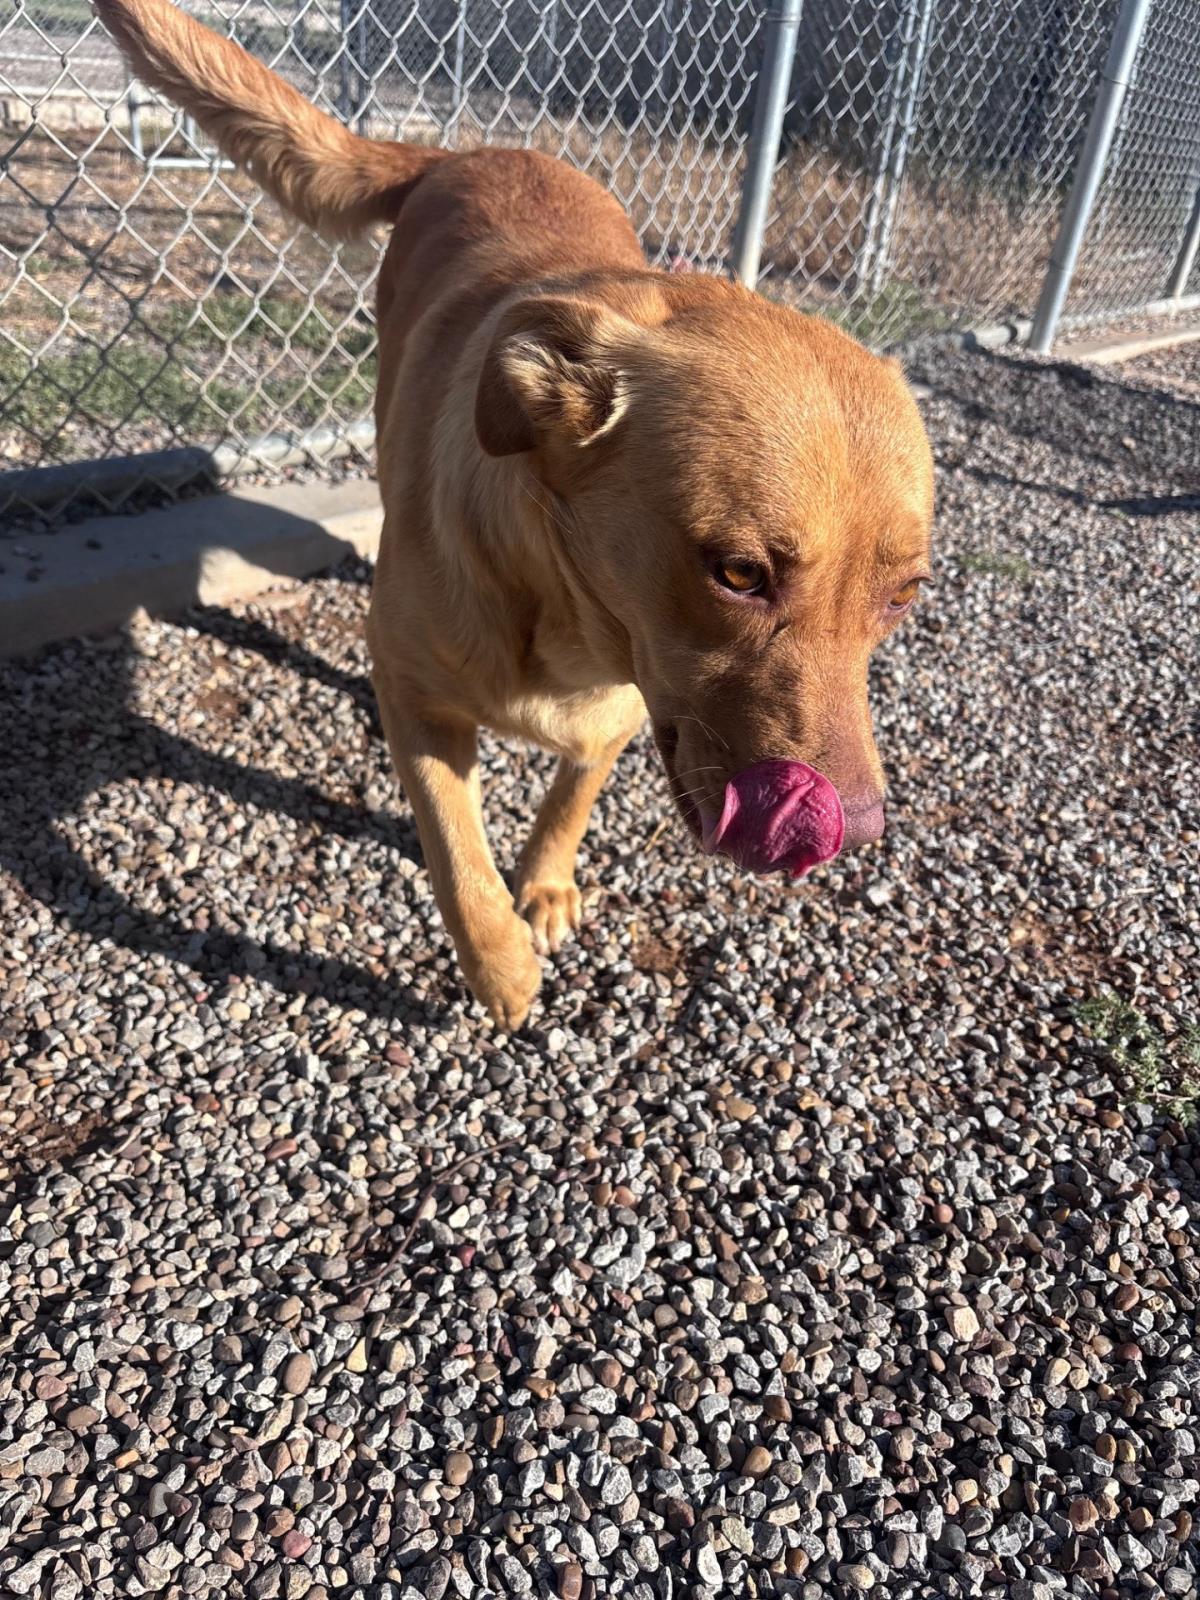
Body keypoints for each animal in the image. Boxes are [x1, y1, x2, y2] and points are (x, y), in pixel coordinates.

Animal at [93, 0, 935, 1028]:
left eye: (903, 597)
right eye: (739, 573)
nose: (850, 833)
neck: (569, 623)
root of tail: (471, 150)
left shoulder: (623, 712)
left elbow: (569, 799)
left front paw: (546, 888)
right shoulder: (419, 704)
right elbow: (456, 854)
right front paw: (499, 965)